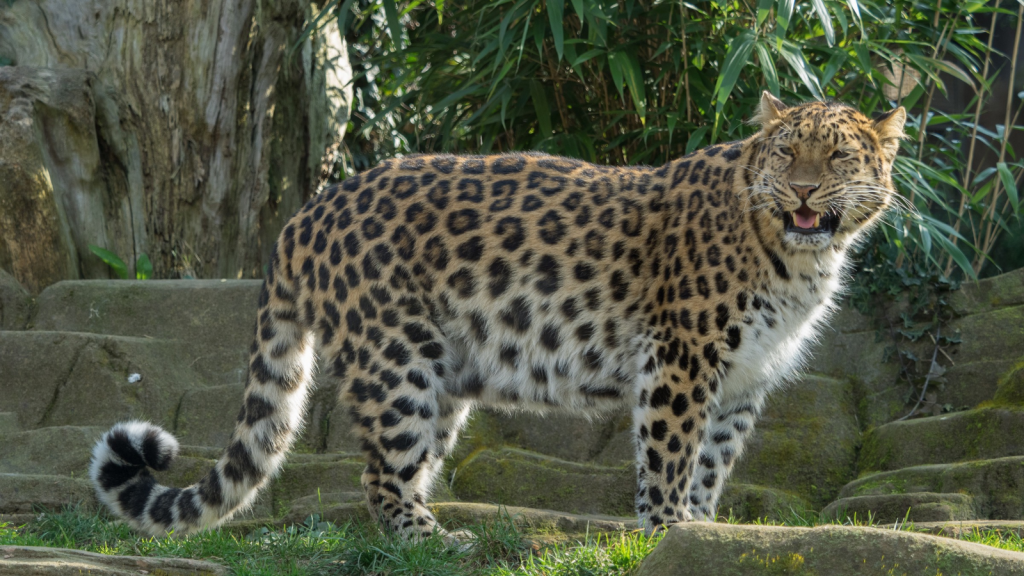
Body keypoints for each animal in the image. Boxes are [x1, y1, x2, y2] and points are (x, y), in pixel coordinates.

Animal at [88, 91, 905, 537]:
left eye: (838, 159)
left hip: (444, 372)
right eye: (788, 153)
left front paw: (699, 536)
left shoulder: (742, 378)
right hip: (396, 359)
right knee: (379, 478)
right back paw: (437, 543)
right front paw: (669, 530)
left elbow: (713, 460)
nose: (803, 192)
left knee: (406, 467)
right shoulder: (682, 359)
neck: (798, 259)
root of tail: (306, 213)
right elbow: (671, 456)